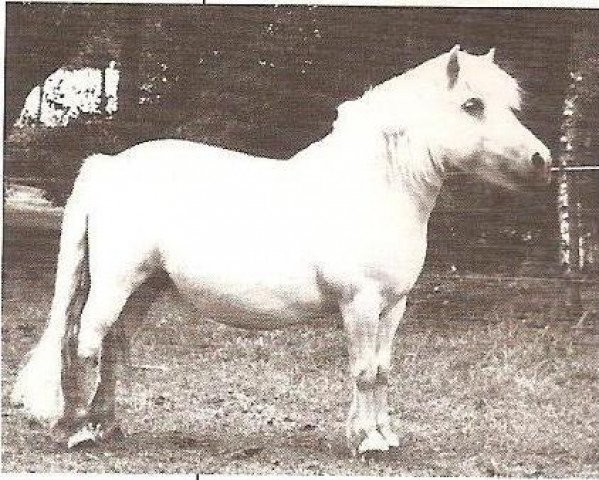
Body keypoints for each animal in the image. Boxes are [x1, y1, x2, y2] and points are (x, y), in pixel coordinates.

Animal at [10, 45, 552, 454]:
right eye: (472, 105)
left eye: (510, 106)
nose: (541, 160)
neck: (373, 186)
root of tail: (108, 165)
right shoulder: (360, 303)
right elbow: (363, 372)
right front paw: (367, 442)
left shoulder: (393, 306)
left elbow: (381, 371)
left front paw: (383, 435)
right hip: (115, 282)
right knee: (85, 344)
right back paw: (79, 431)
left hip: (145, 287)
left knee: (115, 345)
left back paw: (108, 425)